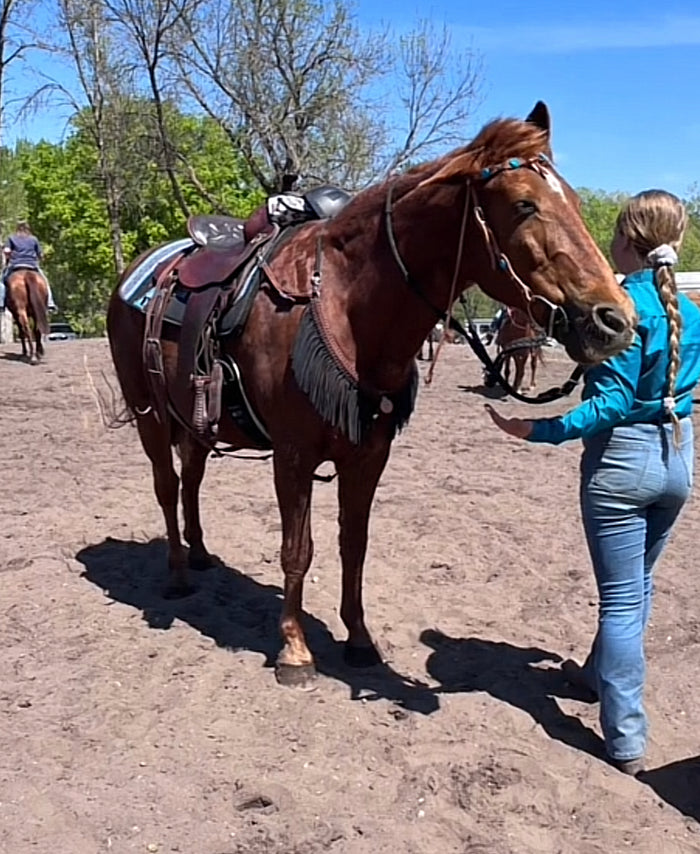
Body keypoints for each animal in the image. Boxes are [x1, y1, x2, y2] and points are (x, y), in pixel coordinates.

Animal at [106, 101, 636, 690]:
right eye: (524, 204)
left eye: (573, 200)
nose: (615, 320)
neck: (346, 308)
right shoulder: (293, 455)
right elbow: (298, 549)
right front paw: (295, 649)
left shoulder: (368, 454)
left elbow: (353, 546)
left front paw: (359, 640)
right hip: (150, 413)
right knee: (166, 485)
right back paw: (177, 573)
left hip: (194, 418)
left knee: (192, 478)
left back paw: (199, 554)